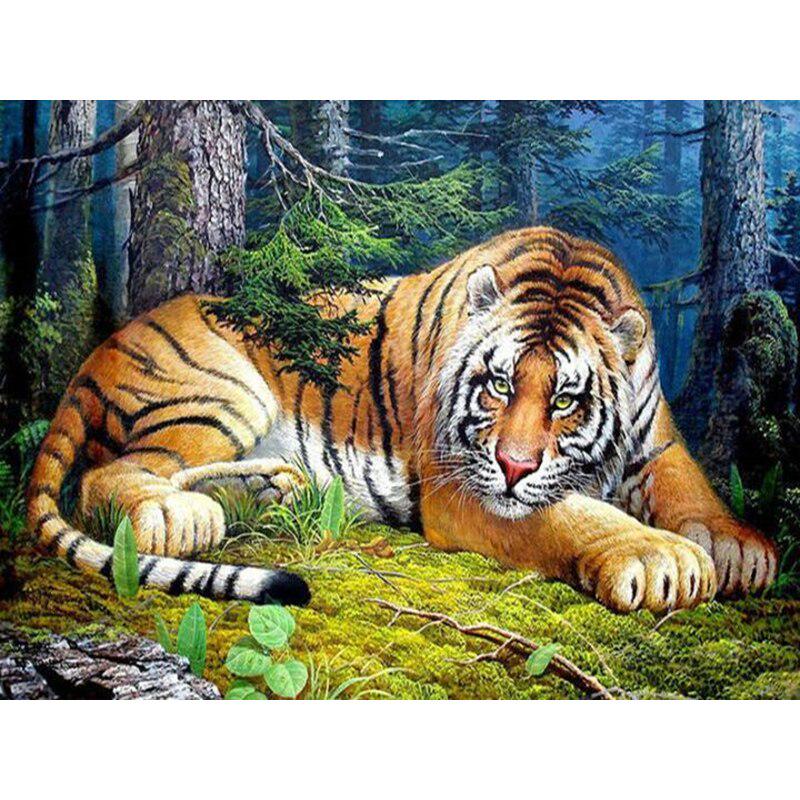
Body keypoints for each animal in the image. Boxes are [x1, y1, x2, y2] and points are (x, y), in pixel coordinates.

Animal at [27, 227, 778, 612]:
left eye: (566, 400)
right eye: (498, 385)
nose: (513, 465)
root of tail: (99, 350)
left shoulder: (658, 442)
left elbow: (690, 487)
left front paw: (739, 548)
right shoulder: (462, 486)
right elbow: (571, 514)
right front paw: (658, 558)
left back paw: (266, 489)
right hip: (221, 390)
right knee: (109, 476)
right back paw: (184, 515)